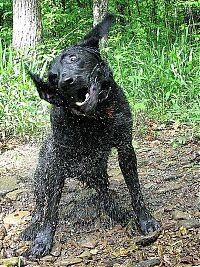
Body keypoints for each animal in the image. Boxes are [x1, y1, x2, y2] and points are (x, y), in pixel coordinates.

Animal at [21, 14, 159, 258]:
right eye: (52, 77)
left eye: (73, 57)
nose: (65, 82)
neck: (95, 119)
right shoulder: (57, 163)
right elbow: (51, 209)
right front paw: (44, 238)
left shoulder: (125, 148)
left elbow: (135, 190)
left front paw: (144, 219)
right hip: (42, 175)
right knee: (40, 205)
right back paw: (33, 226)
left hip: (98, 171)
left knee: (104, 193)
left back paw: (116, 209)